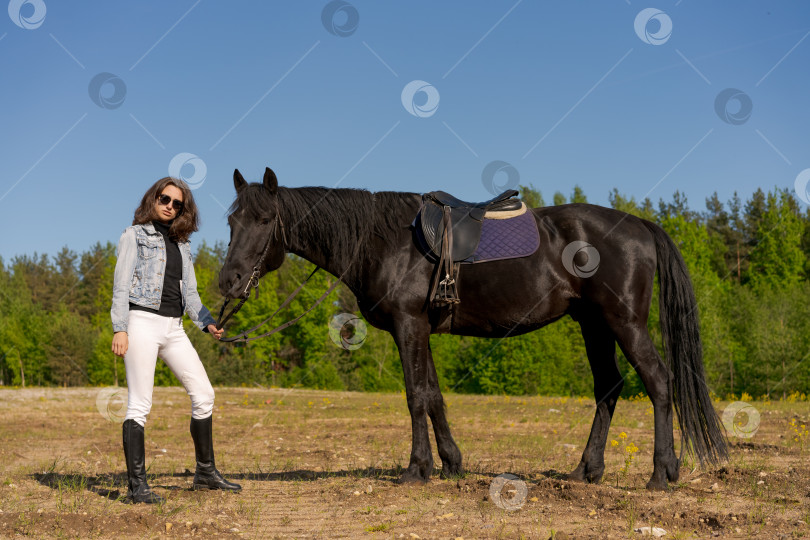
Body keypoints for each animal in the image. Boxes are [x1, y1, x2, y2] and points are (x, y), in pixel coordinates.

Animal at [219, 168, 724, 490]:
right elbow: (434, 395)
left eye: (264, 220)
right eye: (231, 219)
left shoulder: (407, 325)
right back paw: (586, 472)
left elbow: (415, 396)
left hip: (624, 322)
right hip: (594, 325)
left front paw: (416, 469)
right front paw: (450, 464)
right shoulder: (420, 329)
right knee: (609, 387)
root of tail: (640, 223)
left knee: (658, 382)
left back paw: (661, 474)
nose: (227, 280)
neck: (382, 240)